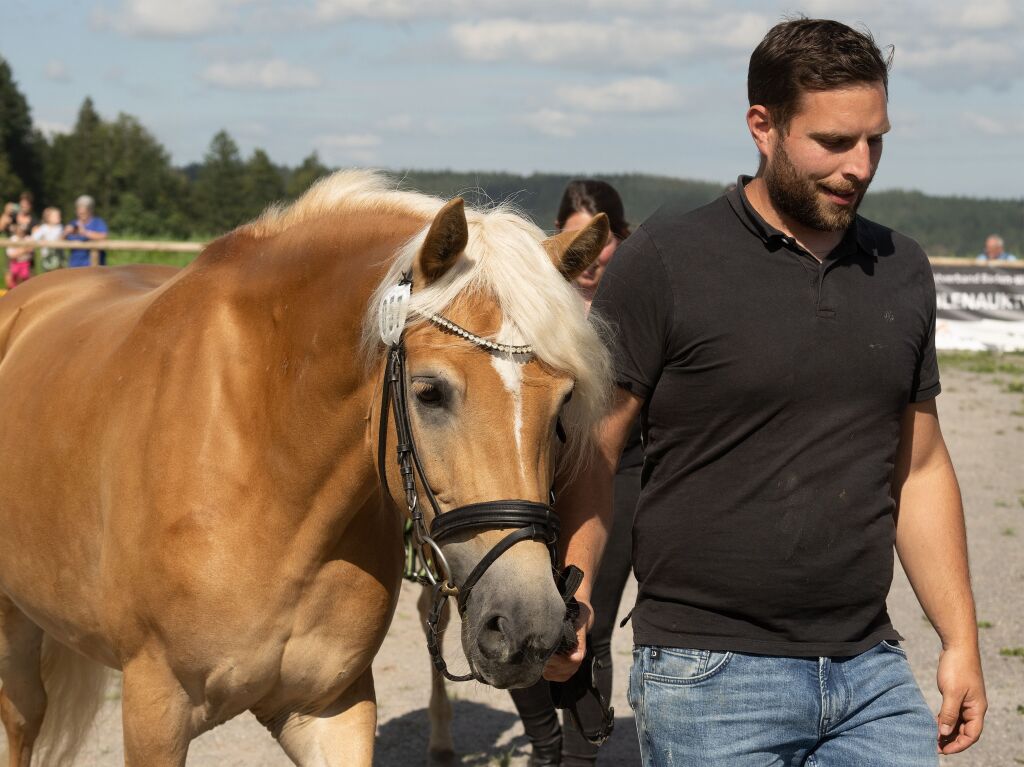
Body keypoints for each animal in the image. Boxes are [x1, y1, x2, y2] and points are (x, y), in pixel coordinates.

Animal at [0, 171, 606, 761]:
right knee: (24, 719)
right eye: (430, 392)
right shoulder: (154, 711)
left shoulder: (331, 709)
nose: (530, 627)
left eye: (563, 405)